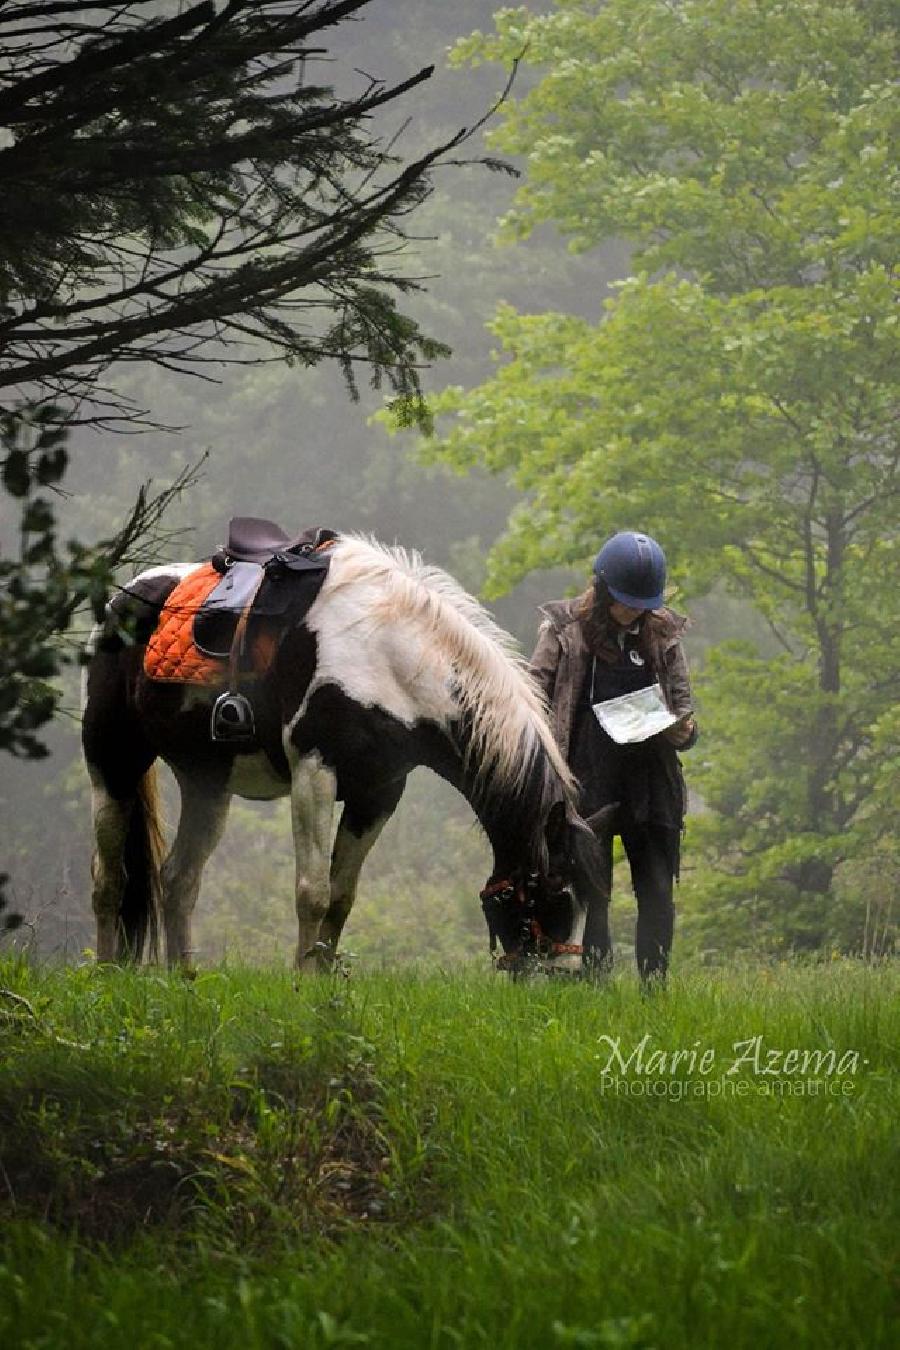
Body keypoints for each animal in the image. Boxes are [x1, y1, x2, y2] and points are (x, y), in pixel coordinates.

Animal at [82, 526, 612, 972]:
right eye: (558, 891)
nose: (565, 978)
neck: (391, 657)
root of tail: (124, 598)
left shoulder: (377, 793)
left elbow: (340, 897)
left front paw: (321, 982)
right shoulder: (315, 774)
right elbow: (312, 892)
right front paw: (301, 982)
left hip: (208, 786)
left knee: (178, 881)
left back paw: (183, 978)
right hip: (113, 761)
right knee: (110, 880)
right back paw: (107, 974)